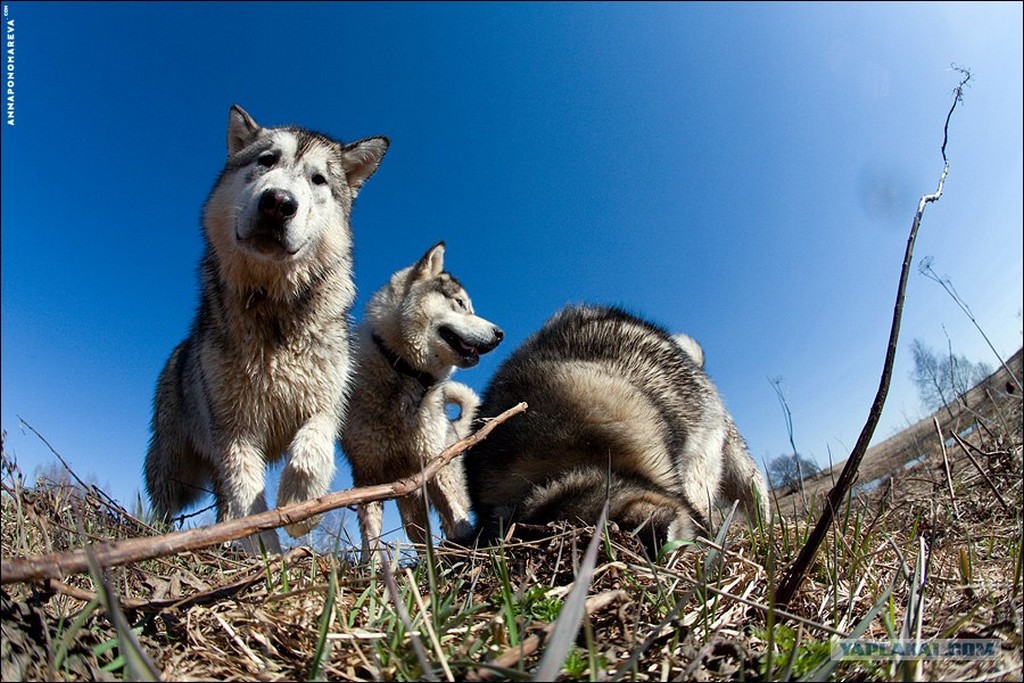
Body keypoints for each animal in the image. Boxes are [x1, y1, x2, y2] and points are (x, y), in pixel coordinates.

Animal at [344, 242, 503, 565]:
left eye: (469, 306)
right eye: (460, 303)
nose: (500, 334)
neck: (403, 371)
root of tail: (453, 426)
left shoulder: (433, 465)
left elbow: (457, 520)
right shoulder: (367, 476)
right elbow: (371, 533)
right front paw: (373, 569)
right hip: (409, 502)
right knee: (419, 535)